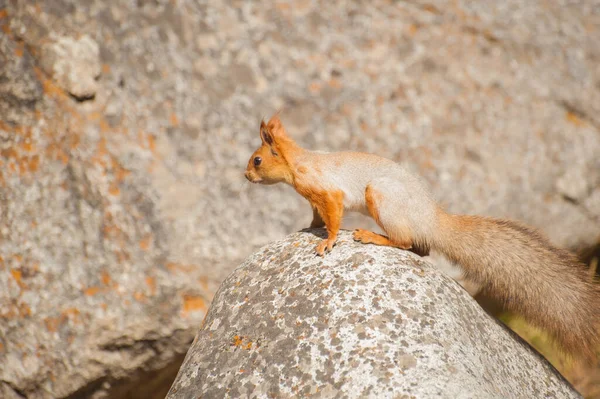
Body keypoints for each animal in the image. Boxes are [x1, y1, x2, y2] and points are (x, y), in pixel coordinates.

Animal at [245, 114, 600, 364]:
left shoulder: (328, 193)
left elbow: (332, 219)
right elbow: (318, 218)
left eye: (257, 160)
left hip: (381, 196)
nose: (246, 176)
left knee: (404, 242)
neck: (299, 163)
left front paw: (327, 242)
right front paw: (308, 229)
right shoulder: (315, 200)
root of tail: (431, 220)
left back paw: (372, 236)